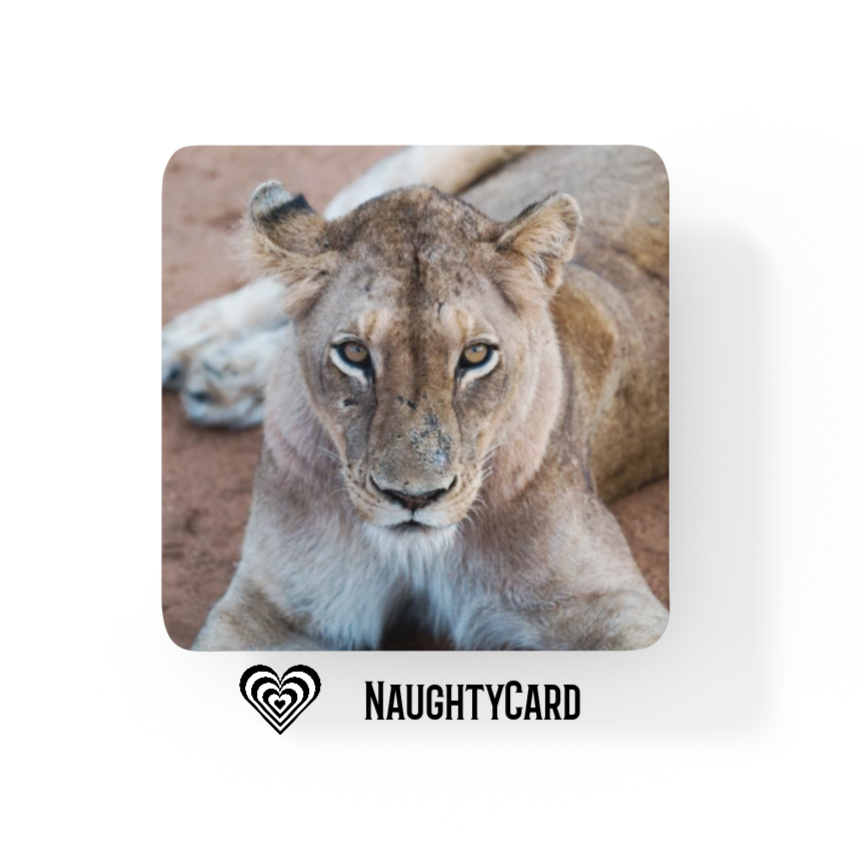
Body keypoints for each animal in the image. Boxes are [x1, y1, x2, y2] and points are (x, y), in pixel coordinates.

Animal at [163, 146, 669, 650]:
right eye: (354, 353)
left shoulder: (607, 601)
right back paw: (190, 348)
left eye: (476, 354)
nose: (414, 498)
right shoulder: (272, 602)